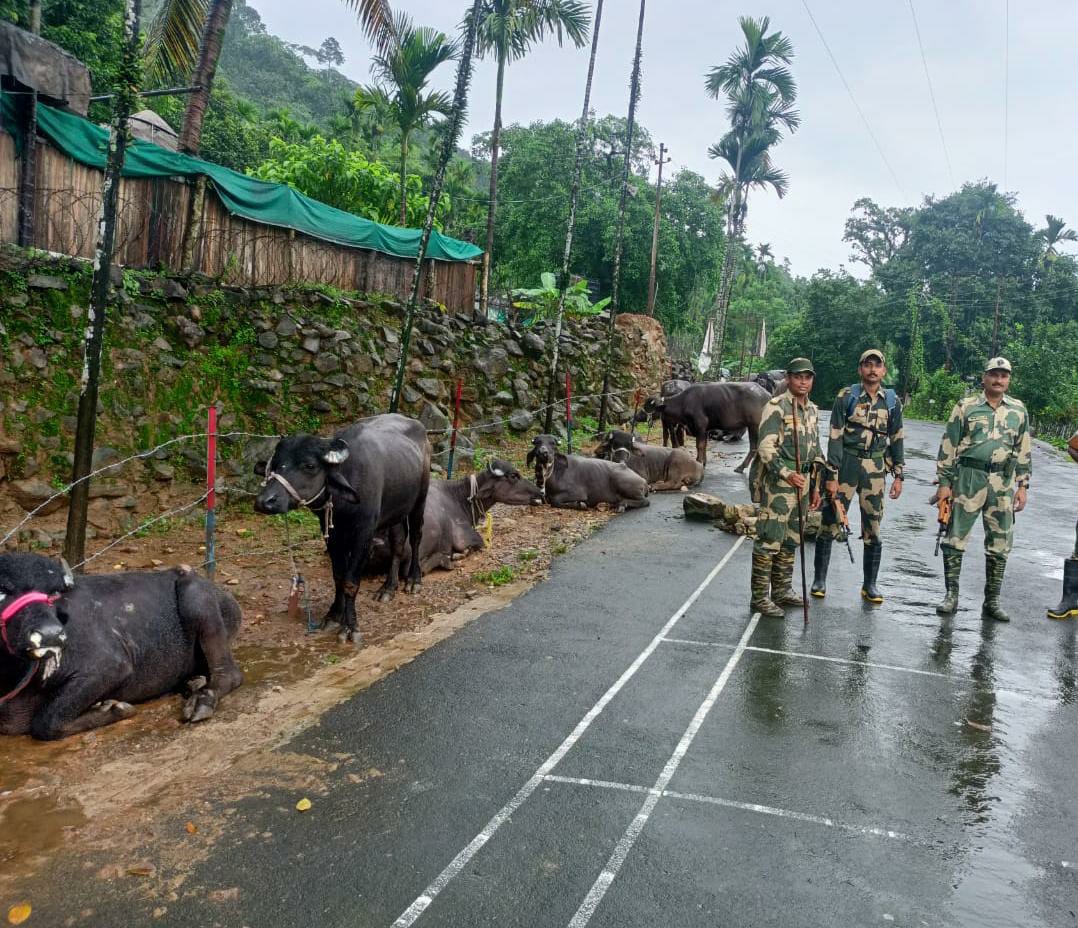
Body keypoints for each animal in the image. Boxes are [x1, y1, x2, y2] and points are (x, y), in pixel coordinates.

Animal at [0, 549, 243, 737]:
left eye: (54, 593)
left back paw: (201, 701)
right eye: (2, 592)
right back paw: (193, 683)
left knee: (230, 675)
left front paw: (114, 708)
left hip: (197, 600)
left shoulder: (111, 667)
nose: (51, 634)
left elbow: (46, 721)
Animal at [255, 413, 429, 642]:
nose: (265, 501)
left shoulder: (364, 533)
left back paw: (413, 580)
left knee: (416, 536)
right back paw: (388, 588)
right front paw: (334, 615)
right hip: (395, 511)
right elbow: (338, 576)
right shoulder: (331, 533)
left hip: (420, 500)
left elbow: (350, 581)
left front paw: (350, 627)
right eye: (275, 464)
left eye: (309, 465)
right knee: (398, 543)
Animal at [366, 459, 543, 577]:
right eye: (513, 476)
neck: (458, 497)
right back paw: (446, 559)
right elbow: (479, 543)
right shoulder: (465, 536)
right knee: (411, 569)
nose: (540, 493)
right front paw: (460, 553)